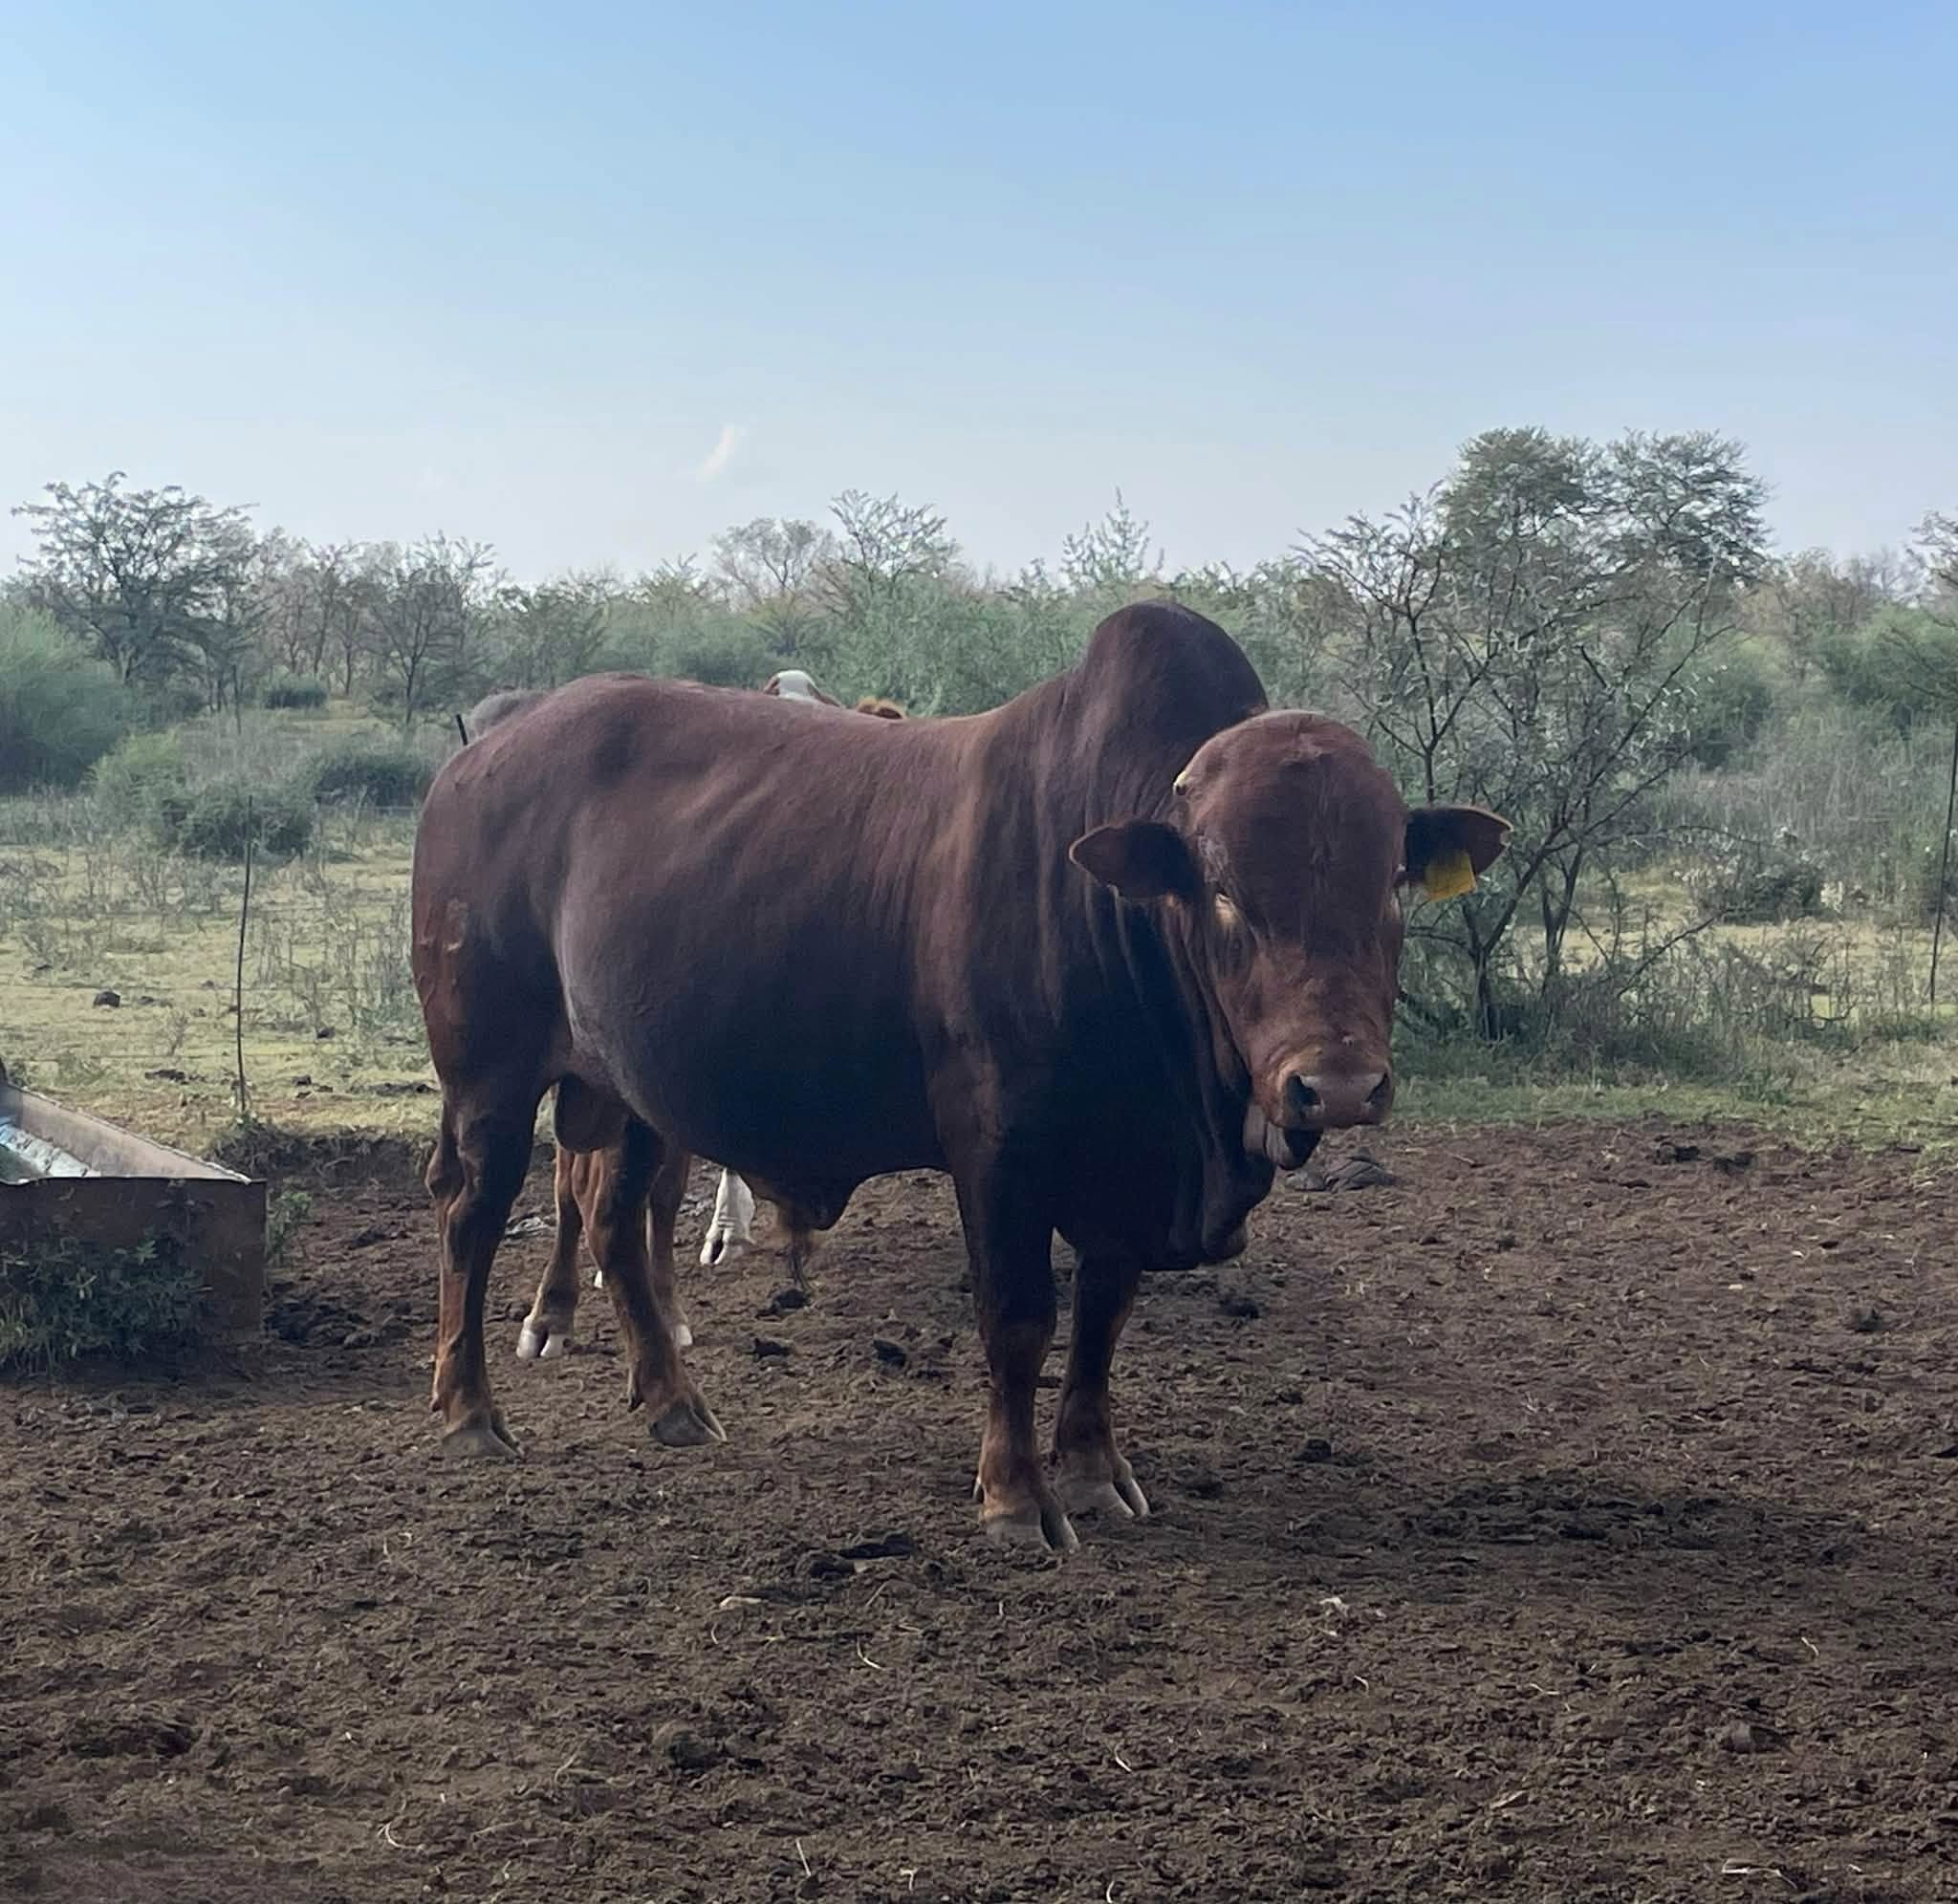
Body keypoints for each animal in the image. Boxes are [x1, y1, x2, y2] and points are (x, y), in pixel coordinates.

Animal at [412, 603, 1507, 1551]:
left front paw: (1094, 1472)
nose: (1339, 1084)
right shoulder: (999, 1151)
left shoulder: (1124, 1167)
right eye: (1226, 890)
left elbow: (1101, 1319)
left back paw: (673, 1401)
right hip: (488, 1075)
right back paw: (468, 1412)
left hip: (632, 1091)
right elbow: (1019, 1321)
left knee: (613, 1218)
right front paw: (1016, 1498)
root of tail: (480, 752)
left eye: (1392, 883)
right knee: (474, 1213)